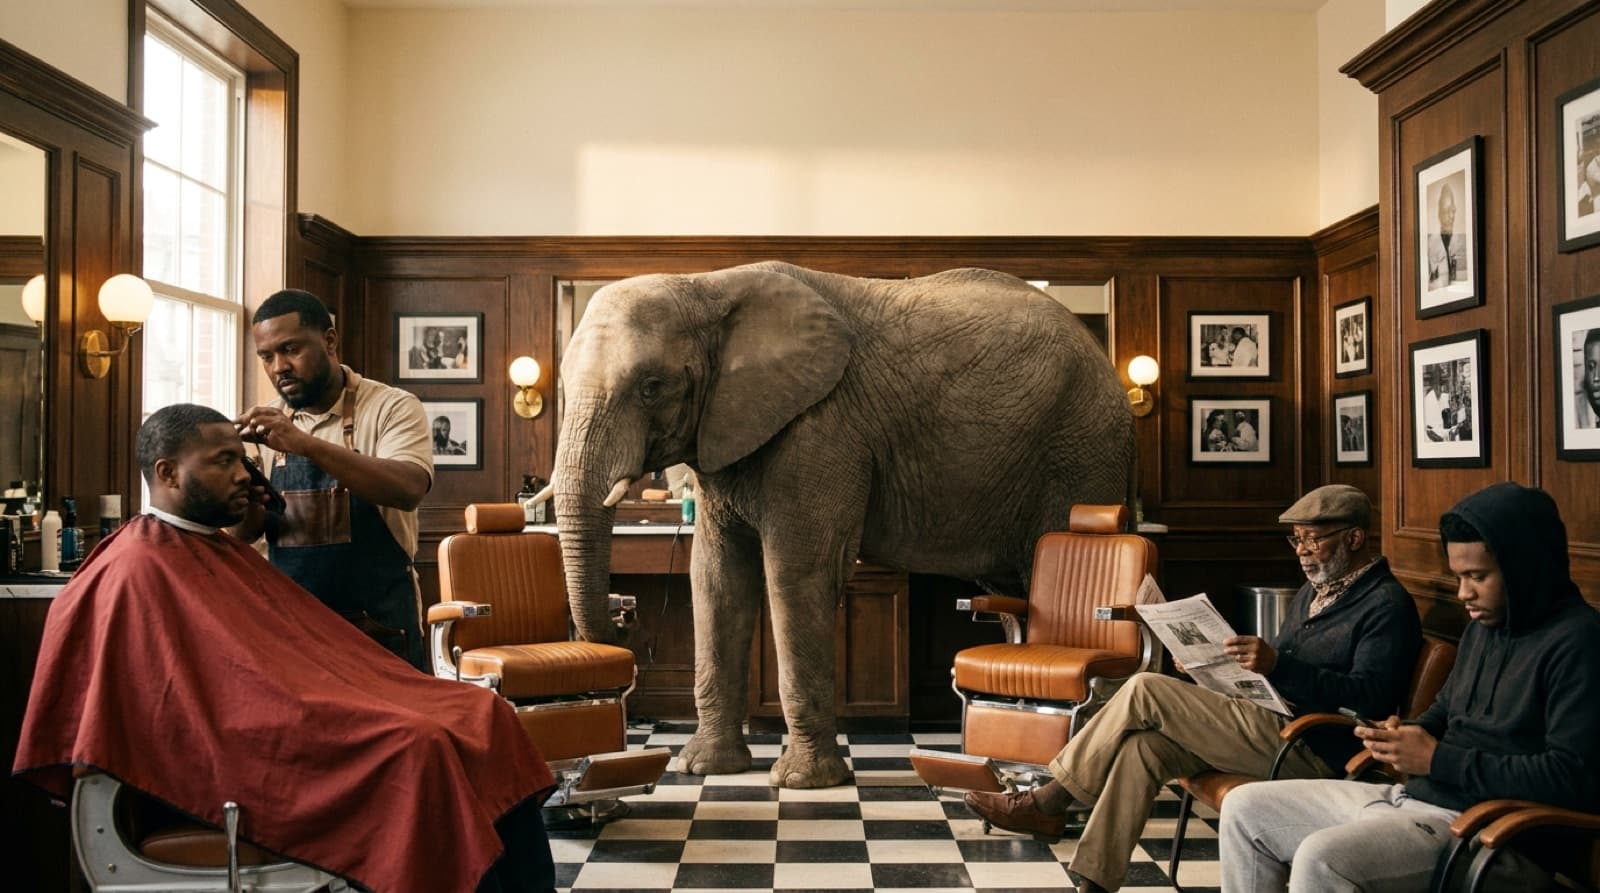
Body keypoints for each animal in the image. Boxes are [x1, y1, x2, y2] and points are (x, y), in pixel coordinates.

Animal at [547, 261, 1134, 789]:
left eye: (651, 386)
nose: (625, 614)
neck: (706, 285)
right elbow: (715, 578)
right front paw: (704, 769)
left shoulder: (823, 427)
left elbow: (795, 574)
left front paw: (802, 782)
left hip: (1081, 451)